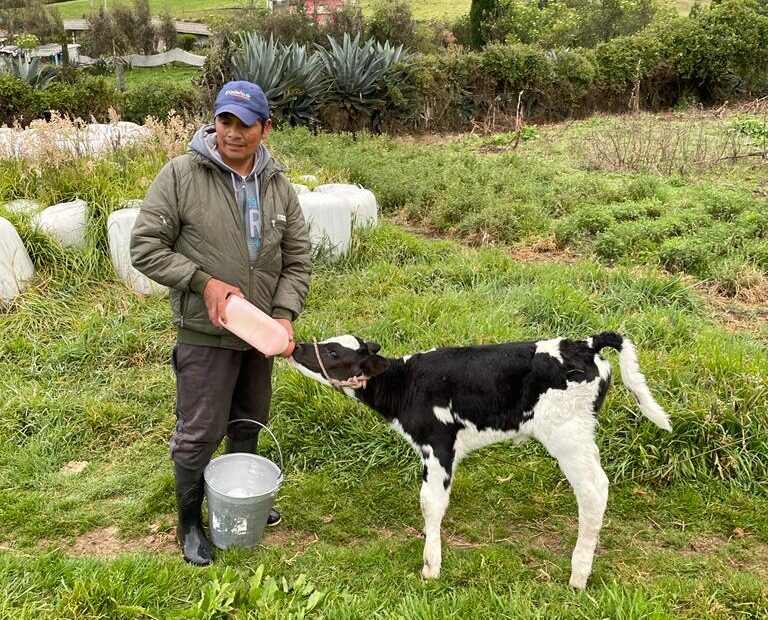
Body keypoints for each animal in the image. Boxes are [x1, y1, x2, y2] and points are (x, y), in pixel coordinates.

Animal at [290, 332, 672, 588]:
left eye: (333, 351)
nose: (296, 347)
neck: (406, 386)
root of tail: (585, 344)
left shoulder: (438, 445)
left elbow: (431, 503)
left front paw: (431, 566)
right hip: (581, 434)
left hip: (567, 436)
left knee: (594, 490)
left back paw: (578, 574)